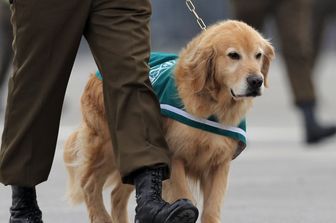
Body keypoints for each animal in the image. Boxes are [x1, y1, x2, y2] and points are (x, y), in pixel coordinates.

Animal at [63, 20, 272, 222]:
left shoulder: (219, 163)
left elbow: (211, 209)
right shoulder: (174, 156)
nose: (256, 81)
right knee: (89, 184)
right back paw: (101, 217)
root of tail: (98, 74)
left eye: (258, 55)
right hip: (109, 148)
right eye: (233, 55)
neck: (212, 105)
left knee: (116, 195)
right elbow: (184, 194)